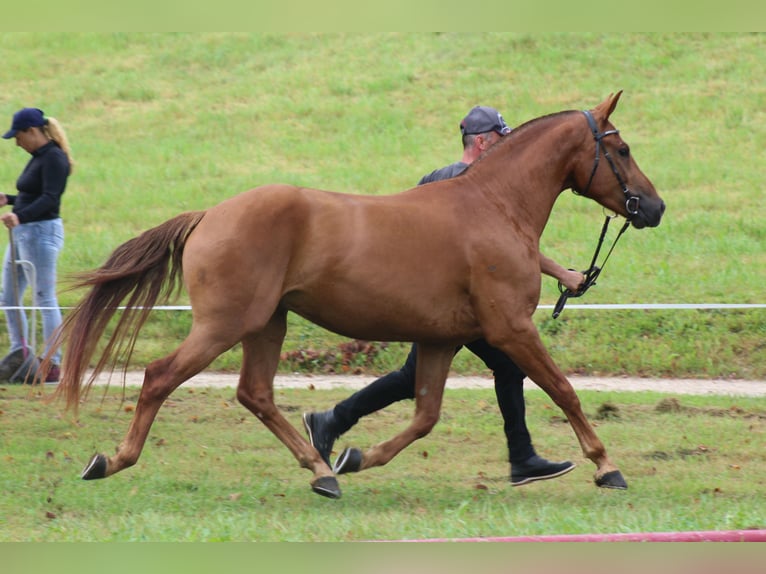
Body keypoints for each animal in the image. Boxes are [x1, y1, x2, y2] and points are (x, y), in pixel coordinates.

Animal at [51, 93, 664, 500]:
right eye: (623, 149)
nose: (655, 208)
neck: (493, 204)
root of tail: (209, 216)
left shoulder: (442, 340)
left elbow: (424, 415)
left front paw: (357, 456)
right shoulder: (511, 328)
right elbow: (564, 391)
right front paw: (606, 467)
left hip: (267, 324)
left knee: (255, 394)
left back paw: (321, 468)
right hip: (224, 325)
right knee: (161, 378)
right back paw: (112, 460)